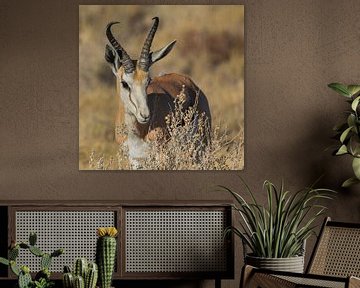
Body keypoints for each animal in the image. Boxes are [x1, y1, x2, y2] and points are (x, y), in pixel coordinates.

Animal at [104, 16, 211, 168]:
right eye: (124, 83)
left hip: (202, 144)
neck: (138, 132)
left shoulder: (160, 155)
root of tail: (189, 81)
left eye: (148, 80)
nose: (145, 115)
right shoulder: (134, 159)